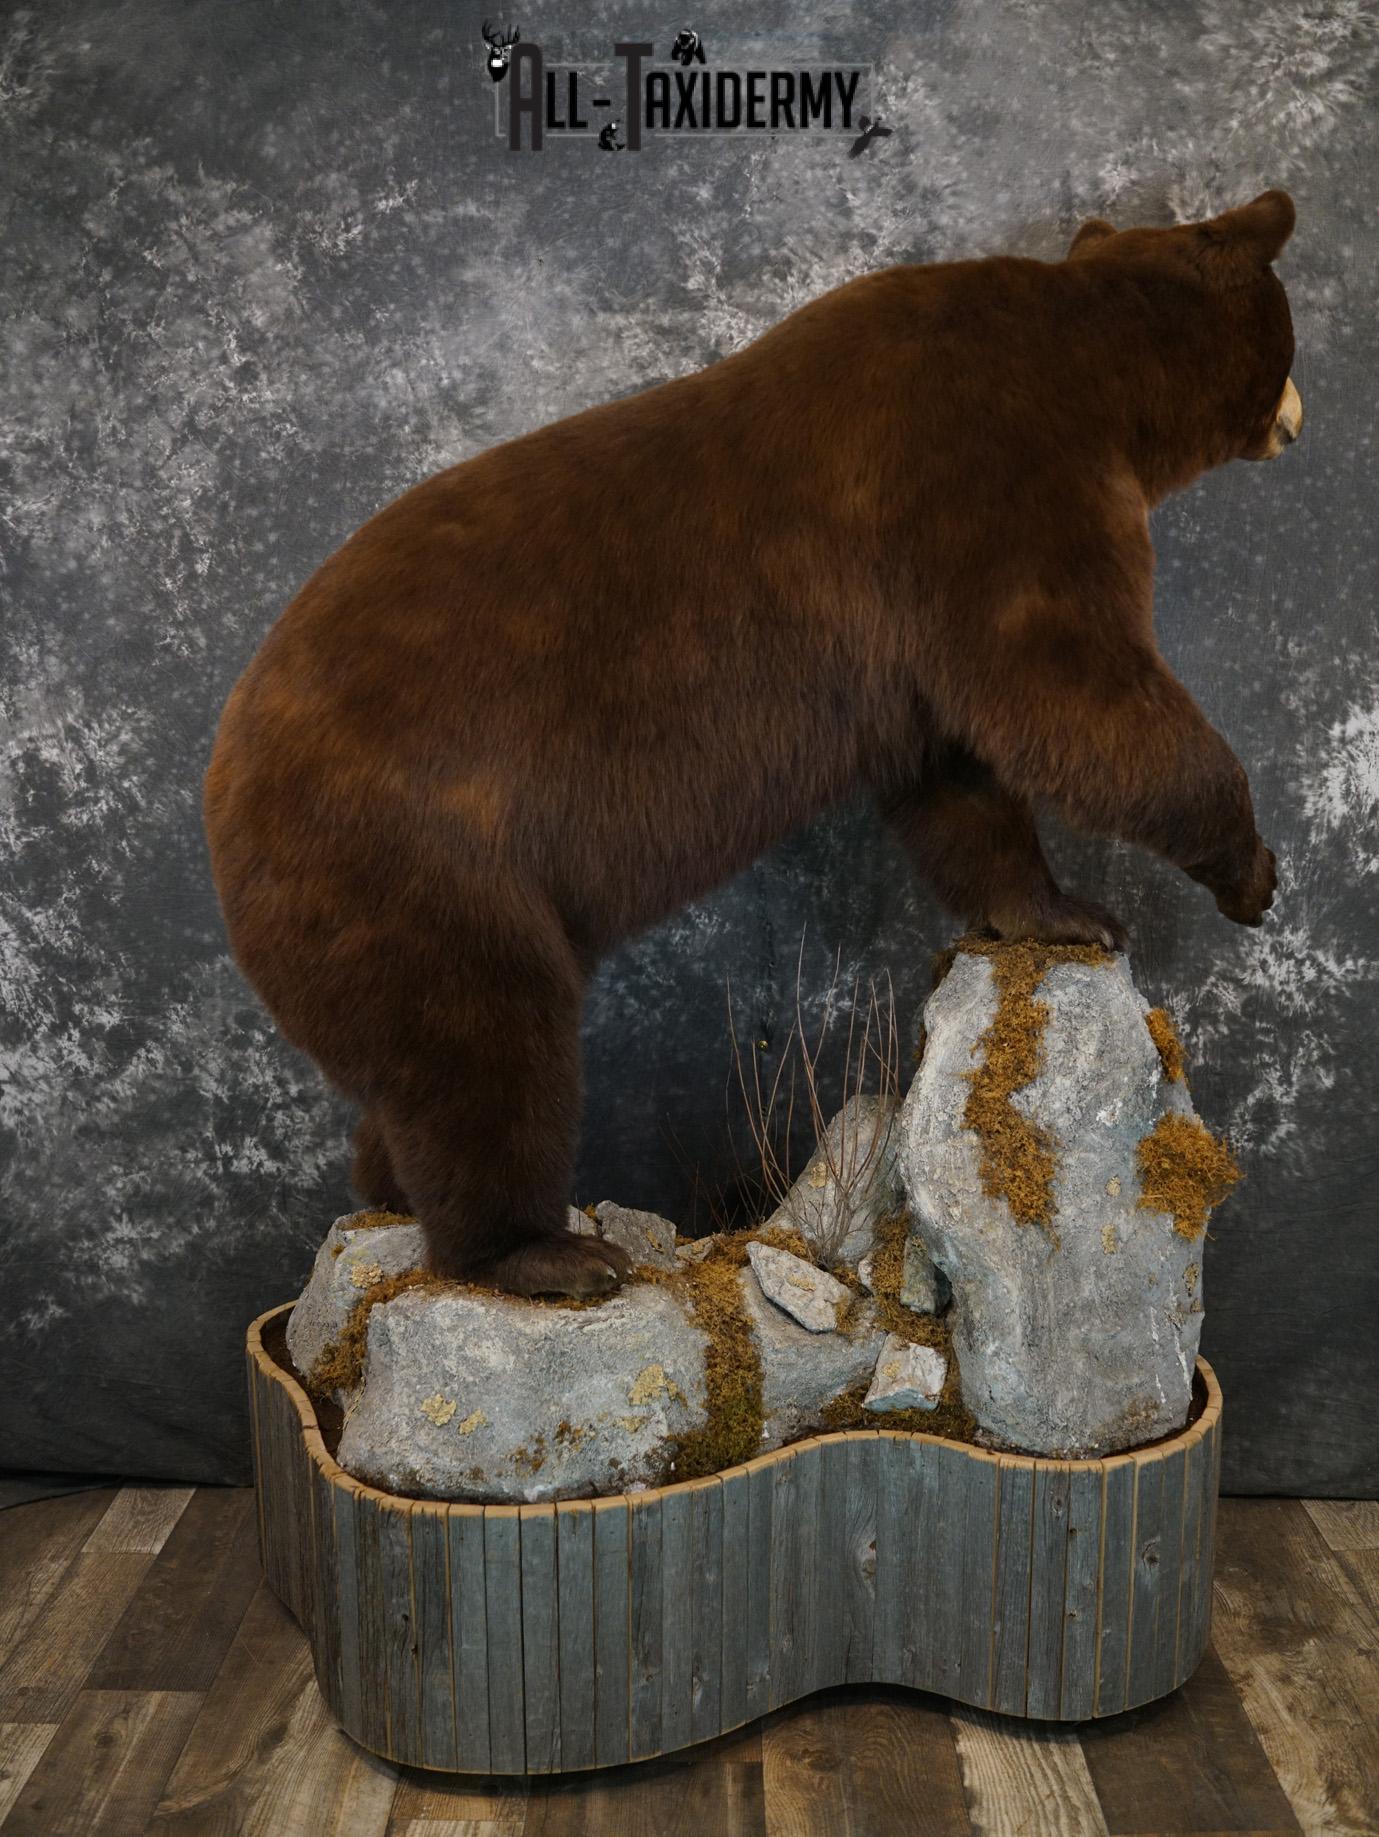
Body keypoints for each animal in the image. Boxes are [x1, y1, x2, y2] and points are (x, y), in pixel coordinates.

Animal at [203, 189, 1302, 1299]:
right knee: (483, 1046)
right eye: (1287, 340)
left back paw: (388, 1187)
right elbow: (1069, 686)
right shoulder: (984, 485)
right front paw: (1244, 866)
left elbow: (959, 772)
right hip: (416, 864)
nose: (1297, 418)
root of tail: (221, 793)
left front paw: (1055, 911)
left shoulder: (916, 630)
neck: (1093, 374)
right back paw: (546, 1250)